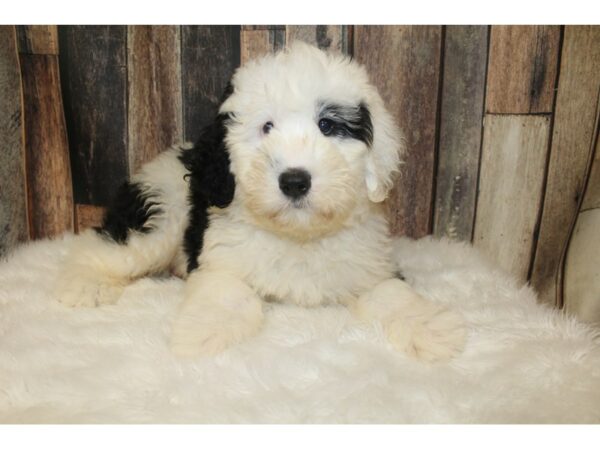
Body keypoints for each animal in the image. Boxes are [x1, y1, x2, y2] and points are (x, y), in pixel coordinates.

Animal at [56, 40, 466, 360]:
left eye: (327, 126)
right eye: (267, 127)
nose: (295, 181)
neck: (299, 238)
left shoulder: (372, 266)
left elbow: (392, 294)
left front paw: (431, 329)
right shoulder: (220, 259)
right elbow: (231, 293)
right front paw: (202, 333)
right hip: (161, 214)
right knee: (102, 246)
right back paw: (86, 285)